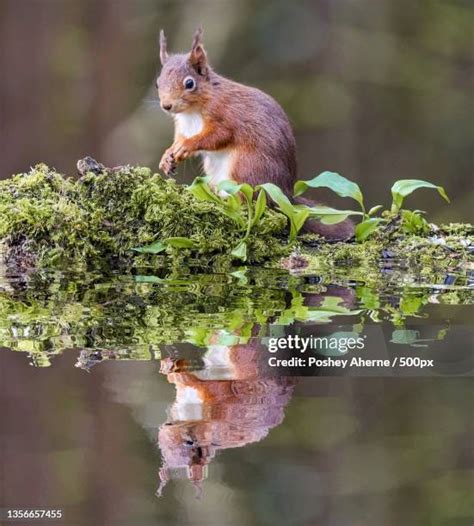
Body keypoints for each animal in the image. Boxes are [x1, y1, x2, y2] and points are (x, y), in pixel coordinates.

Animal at [157, 28, 354, 239]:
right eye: (157, 83)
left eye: (189, 83)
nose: (166, 106)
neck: (191, 112)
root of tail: (286, 197)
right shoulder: (183, 127)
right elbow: (178, 140)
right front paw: (168, 156)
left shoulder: (225, 117)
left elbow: (217, 137)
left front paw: (187, 146)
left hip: (246, 167)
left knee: (250, 201)